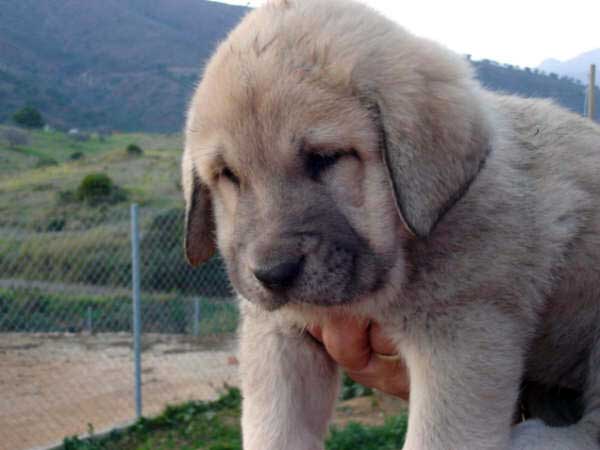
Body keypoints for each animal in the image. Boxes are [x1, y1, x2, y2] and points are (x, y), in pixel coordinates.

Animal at [182, 1, 600, 448]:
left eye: (326, 158)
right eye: (228, 175)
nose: (272, 274)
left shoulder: (463, 333)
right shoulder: (279, 339)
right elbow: (274, 430)